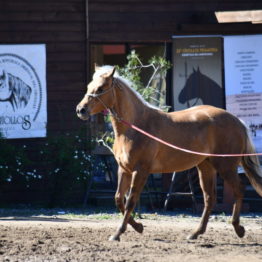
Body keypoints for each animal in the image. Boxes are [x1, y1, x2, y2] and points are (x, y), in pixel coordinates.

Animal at [76, 65, 262, 242]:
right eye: (89, 86)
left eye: (101, 88)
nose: (80, 110)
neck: (136, 126)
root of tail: (237, 121)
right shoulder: (124, 170)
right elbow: (118, 199)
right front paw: (138, 227)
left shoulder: (140, 171)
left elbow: (130, 202)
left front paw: (118, 233)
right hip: (206, 166)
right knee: (210, 198)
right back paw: (195, 233)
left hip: (226, 166)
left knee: (239, 190)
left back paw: (238, 228)